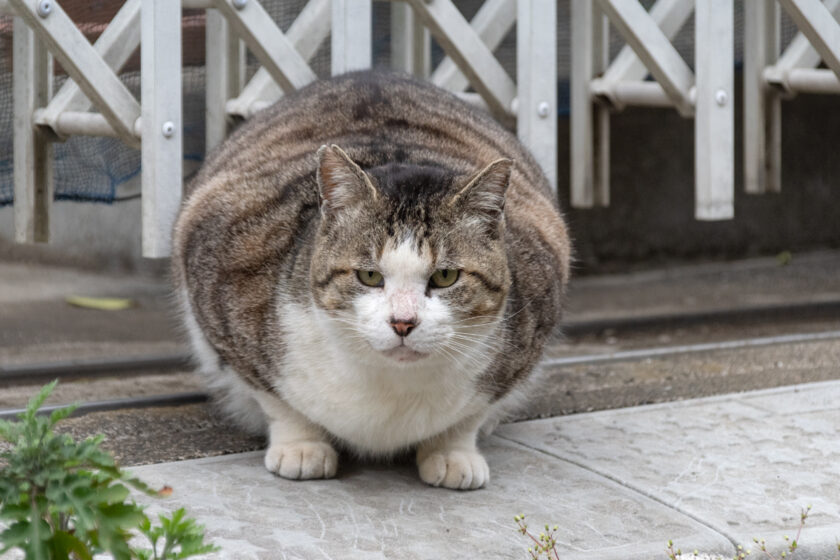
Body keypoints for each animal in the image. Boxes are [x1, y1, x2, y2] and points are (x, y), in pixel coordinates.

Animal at [174, 71, 576, 490]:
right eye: (369, 275)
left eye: (445, 276)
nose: (403, 322)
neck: (390, 384)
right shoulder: (221, 289)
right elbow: (275, 398)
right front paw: (301, 446)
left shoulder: (534, 314)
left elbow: (472, 413)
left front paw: (453, 451)